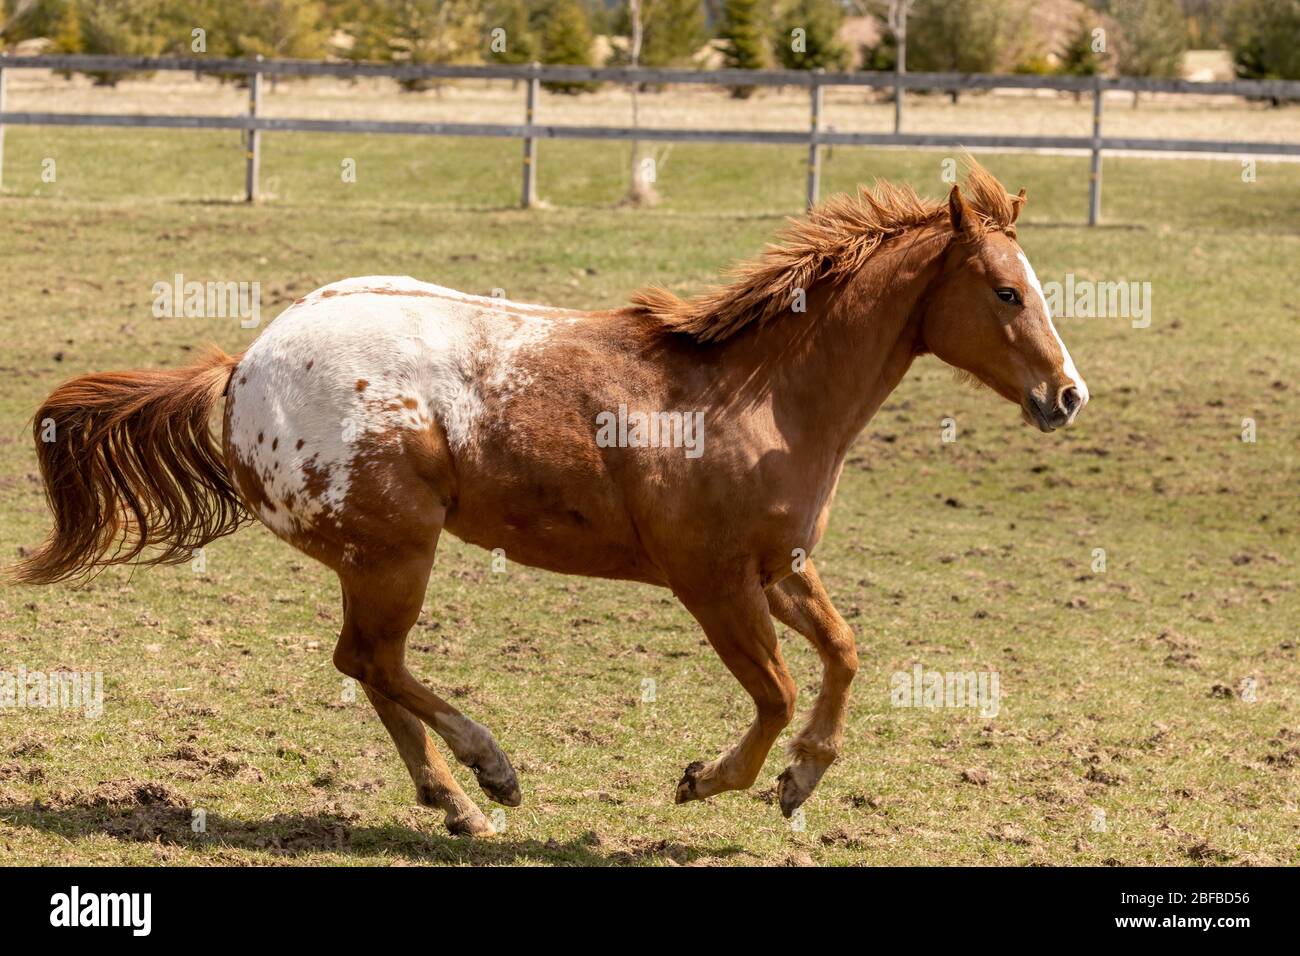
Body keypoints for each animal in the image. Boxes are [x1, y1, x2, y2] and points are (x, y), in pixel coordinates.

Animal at [11, 161, 1087, 837]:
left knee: (369, 666)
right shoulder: (710, 580)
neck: (760, 394)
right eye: (1004, 291)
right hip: (396, 549)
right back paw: (492, 770)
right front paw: (711, 779)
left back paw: (458, 805)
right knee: (372, 660)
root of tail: (241, 369)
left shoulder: (778, 566)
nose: (1066, 394)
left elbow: (843, 653)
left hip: (378, 559)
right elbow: (777, 689)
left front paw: (799, 779)